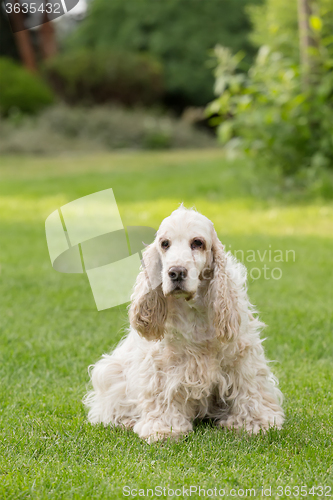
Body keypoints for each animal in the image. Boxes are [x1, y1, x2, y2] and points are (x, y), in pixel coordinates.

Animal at [83, 204, 282, 442]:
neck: (194, 310)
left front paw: (255, 423)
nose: (176, 272)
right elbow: (161, 394)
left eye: (197, 242)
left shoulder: (241, 354)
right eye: (164, 243)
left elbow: (249, 388)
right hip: (109, 371)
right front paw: (163, 429)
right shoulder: (160, 363)